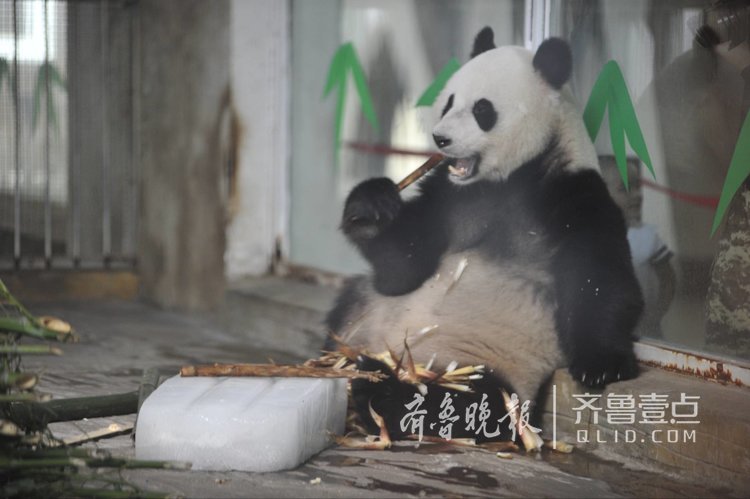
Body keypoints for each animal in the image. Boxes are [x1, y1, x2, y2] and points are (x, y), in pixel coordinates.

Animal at [326, 28, 644, 442]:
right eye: (448, 102)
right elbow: (401, 270)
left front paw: (603, 364)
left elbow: (601, 277)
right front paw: (372, 205)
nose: (440, 138)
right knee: (350, 302)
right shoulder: (450, 198)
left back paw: (376, 387)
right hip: (364, 312)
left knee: (467, 402)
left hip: (488, 366)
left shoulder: (572, 195)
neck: (510, 178)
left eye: (482, 110)